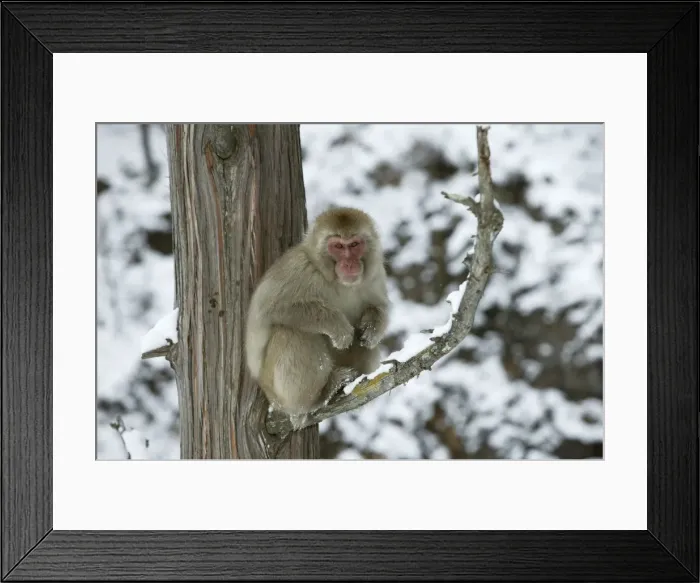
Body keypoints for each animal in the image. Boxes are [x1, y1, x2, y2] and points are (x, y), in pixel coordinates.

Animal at [245, 206, 390, 430]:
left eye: (354, 245)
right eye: (338, 246)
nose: (349, 263)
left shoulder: (375, 274)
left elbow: (379, 307)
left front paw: (373, 328)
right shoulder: (299, 268)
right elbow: (270, 308)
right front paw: (338, 327)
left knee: (365, 345)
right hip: (275, 392)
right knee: (292, 332)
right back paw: (317, 397)